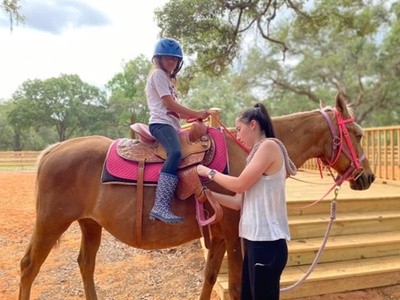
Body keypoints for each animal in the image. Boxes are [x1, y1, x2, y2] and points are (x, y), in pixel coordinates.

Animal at [18, 92, 376, 298]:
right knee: (28, 267)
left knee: (86, 264)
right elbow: (235, 287)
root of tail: (52, 151)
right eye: (357, 134)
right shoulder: (233, 233)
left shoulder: (217, 235)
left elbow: (209, 278)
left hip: (89, 223)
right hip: (51, 222)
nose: (368, 177)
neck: (246, 151)